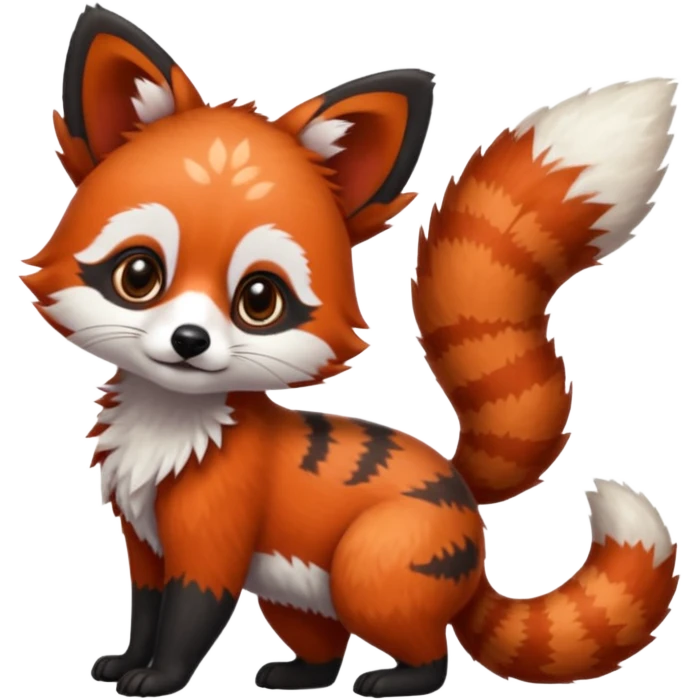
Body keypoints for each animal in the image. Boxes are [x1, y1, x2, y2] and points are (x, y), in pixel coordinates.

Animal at [22, 4, 681, 698]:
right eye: (139, 275)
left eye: (260, 299)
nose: (189, 342)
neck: (169, 426)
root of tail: (462, 493)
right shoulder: (144, 541)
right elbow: (146, 609)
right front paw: (126, 659)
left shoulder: (212, 540)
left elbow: (188, 619)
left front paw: (161, 677)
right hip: (298, 593)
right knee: (325, 646)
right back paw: (299, 674)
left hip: (373, 568)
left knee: (429, 651)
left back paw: (398, 680)